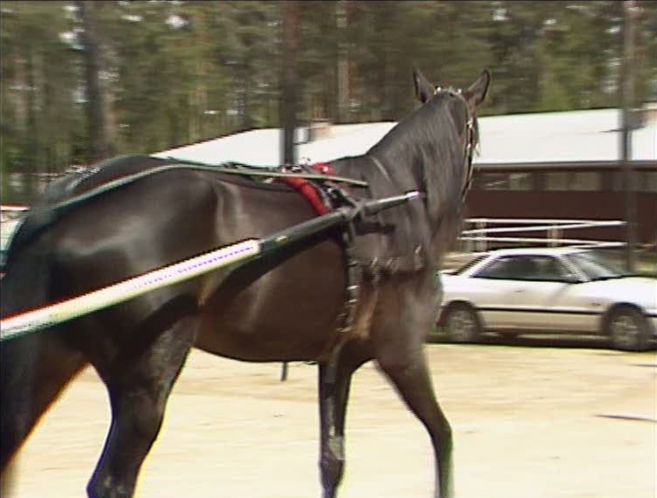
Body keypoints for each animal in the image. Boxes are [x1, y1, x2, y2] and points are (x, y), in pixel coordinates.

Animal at [0, 69, 490, 498]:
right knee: (112, 483)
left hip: (53, 357)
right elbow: (443, 436)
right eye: (475, 137)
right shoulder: (401, 352)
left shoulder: (338, 360)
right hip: (148, 374)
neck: (389, 206)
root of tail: (69, 201)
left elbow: (332, 463)